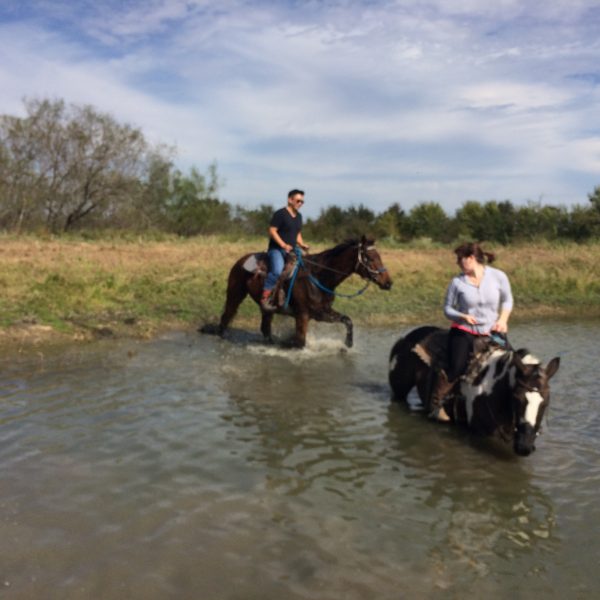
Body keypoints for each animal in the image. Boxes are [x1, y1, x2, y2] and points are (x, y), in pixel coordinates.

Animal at [199, 236, 392, 346]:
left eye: (379, 256)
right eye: (369, 258)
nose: (388, 282)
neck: (319, 276)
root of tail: (241, 260)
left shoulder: (322, 312)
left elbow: (348, 320)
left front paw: (347, 345)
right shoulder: (303, 314)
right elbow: (300, 341)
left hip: (266, 308)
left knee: (265, 328)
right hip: (235, 294)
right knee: (226, 317)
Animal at [392, 326, 560, 458]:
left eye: (545, 402)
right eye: (517, 398)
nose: (524, 447)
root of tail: (408, 337)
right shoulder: (480, 434)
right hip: (399, 391)